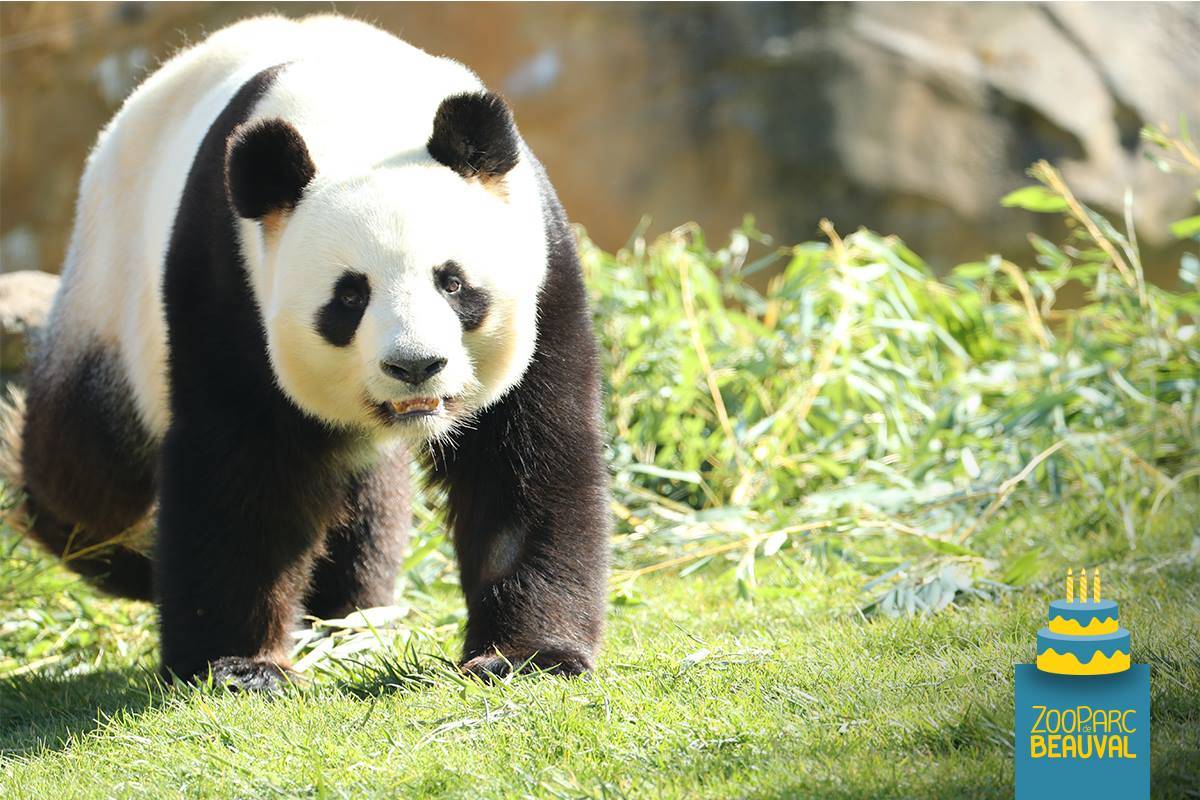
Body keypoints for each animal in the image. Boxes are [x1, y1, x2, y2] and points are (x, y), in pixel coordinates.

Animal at [0, 14, 610, 691]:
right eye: (349, 297)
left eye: (452, 283)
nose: (415, 366)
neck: (362, 117)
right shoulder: (228, 276)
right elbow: (241, 464)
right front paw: (239, 665)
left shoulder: (543, 267)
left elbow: (526, 460)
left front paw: (526, 657)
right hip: (114, 291)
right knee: (89, 472)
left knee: (365, 497)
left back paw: (349, 616)